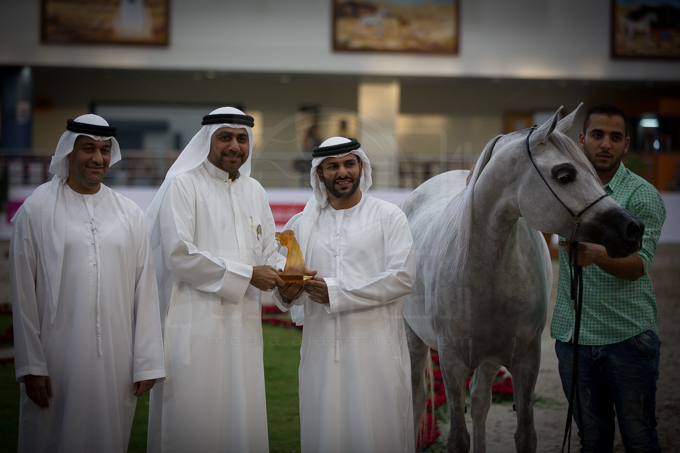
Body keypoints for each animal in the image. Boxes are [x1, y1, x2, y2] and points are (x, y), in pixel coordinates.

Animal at [402, 104, 644, 453]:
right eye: (565, 175)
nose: (633, 229)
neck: (481, 268)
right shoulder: (450, 361)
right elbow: (458, 438)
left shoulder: (526, 360)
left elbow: (525, 434)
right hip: (413, 336)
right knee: (418, 401)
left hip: (489, 359)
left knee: (480, 403)